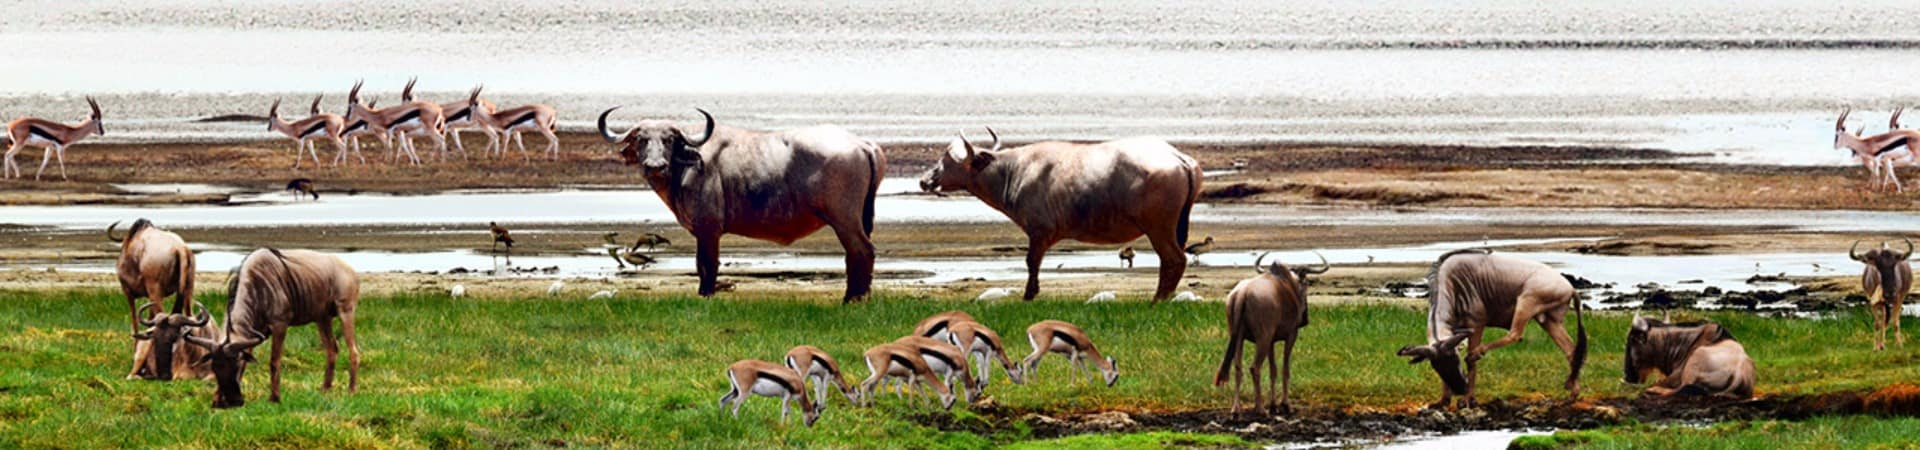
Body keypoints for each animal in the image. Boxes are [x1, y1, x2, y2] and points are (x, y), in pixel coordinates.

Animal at [599, 108, 883, 301]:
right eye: (641, 139)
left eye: (669, 140)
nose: (655, 166)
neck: (689, 165)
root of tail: (861, 143)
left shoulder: (708, 230)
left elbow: (706, 264)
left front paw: (705, 294)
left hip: (844, 219)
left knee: (861, 251)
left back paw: (851, 299)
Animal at [917, 127, 1198, 300]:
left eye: (947, 159)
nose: (924, 180)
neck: (1014, 171)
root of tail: (1177, 157)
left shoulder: (1038, 231)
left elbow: (1032, 262)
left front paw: (1029, 294)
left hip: (1159, 227)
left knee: (1173, 260)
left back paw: (1157, 300)